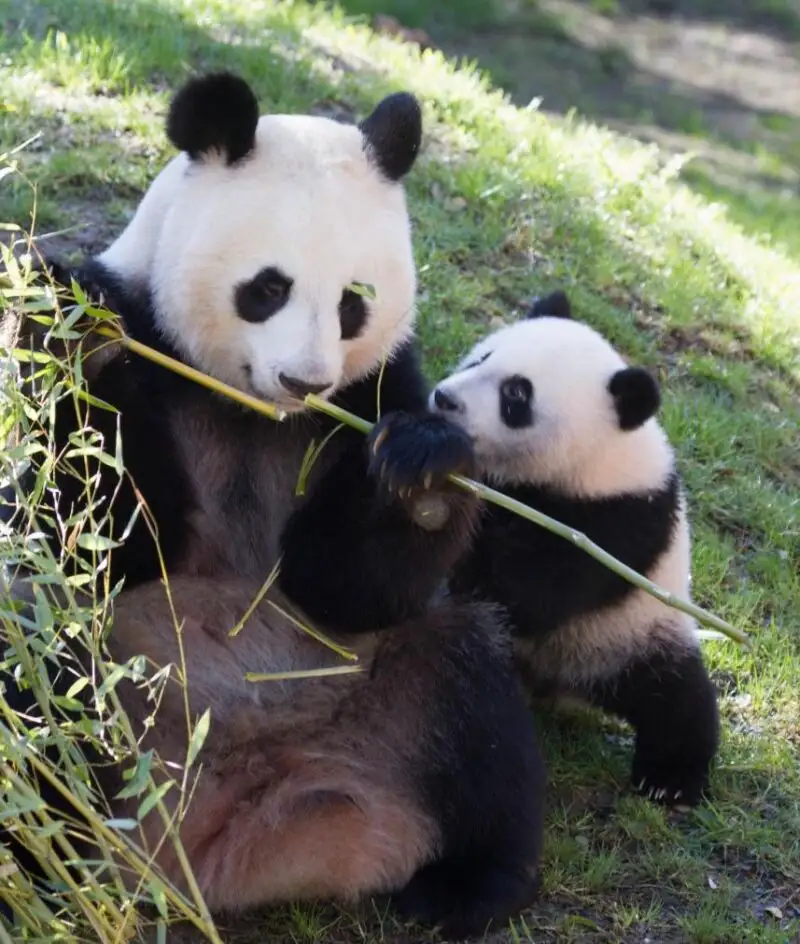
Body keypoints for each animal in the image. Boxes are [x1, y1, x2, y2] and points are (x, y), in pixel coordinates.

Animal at [0, 72, 548, 936]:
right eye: (267, 288)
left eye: (355, 301)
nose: (305, 379)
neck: (253, 408)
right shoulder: (146, 338)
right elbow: (96, 537)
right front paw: (80, 338)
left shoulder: (371, 392)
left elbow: (348, 583)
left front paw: (425, 472)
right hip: (106, 702)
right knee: (41, 669)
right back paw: (57, 873)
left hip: (382, 688)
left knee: (468, 688)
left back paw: (467, 887)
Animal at [428, 292, 720, 808]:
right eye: (482, 357)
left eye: (516, 395)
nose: (445, 398)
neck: (600, 458)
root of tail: (557, 685)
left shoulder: (621, 522)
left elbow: (530, 592)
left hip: (628, 638)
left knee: (677, 701)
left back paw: (670, 781)